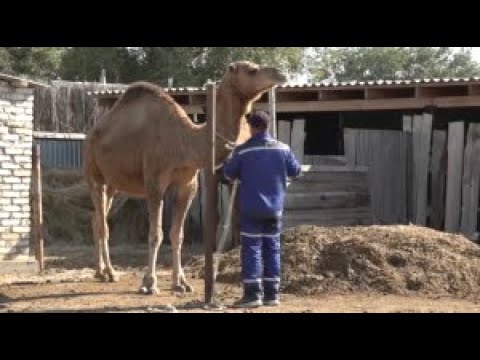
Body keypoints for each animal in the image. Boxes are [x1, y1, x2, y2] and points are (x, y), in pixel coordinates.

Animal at [84, 60, 286, 294]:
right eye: (252, 70)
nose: (280, 74)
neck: (186, 141)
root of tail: (91, 134)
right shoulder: (154, 183)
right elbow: (156, 234)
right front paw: (149, 283)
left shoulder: (187, 185)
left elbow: (177, 234)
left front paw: (181, 282)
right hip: (94, 174)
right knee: (102, 224)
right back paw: (111, 272)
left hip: (114, 184)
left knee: (96, 218)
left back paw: (99, 272)